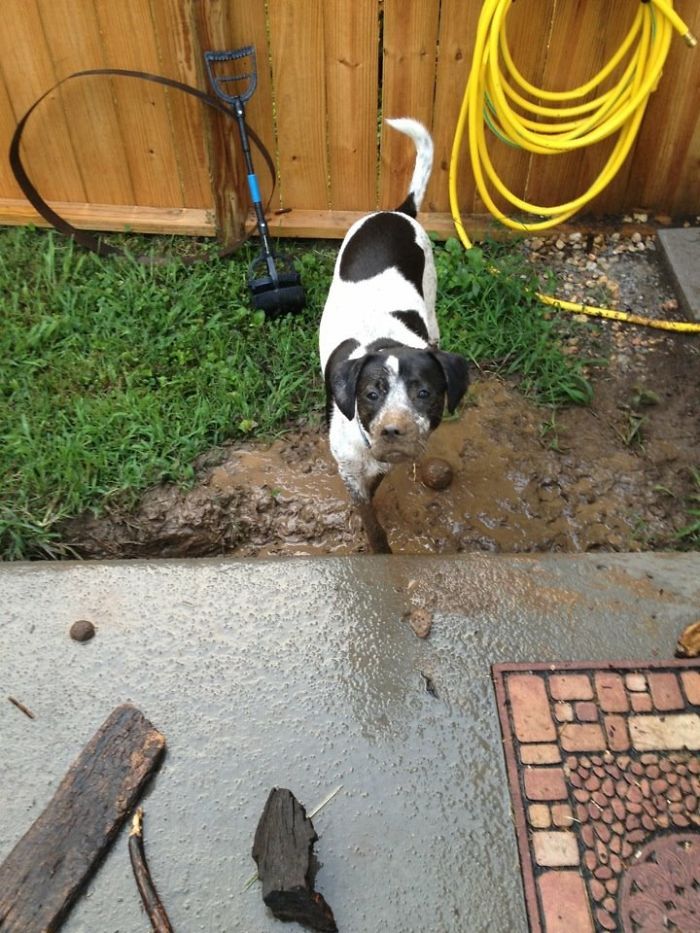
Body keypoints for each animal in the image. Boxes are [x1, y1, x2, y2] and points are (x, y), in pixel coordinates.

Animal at [320, 116, 468, 552]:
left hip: (432, 302)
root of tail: (397, 211)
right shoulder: (348, 465)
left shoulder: (384, 462)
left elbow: (376, 486)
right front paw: (376, 544)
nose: (393, 430)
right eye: (371, 393)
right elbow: (367, 511)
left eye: (425, 393)